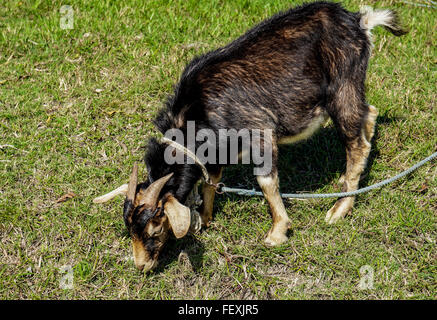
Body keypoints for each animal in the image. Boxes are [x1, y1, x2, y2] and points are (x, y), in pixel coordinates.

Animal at [93, 1, 406, 272]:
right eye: (129, 228)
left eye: (155, 229)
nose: (141, 266)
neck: (194, 114)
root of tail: (359, 21)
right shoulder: (216, 150)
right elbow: (211, 180)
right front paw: (205, 218)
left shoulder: (260, 132)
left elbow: (266, 182)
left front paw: (277, 232)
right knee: (370, 113)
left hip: (343, 86)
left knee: (357, 142)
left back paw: (340, 207)